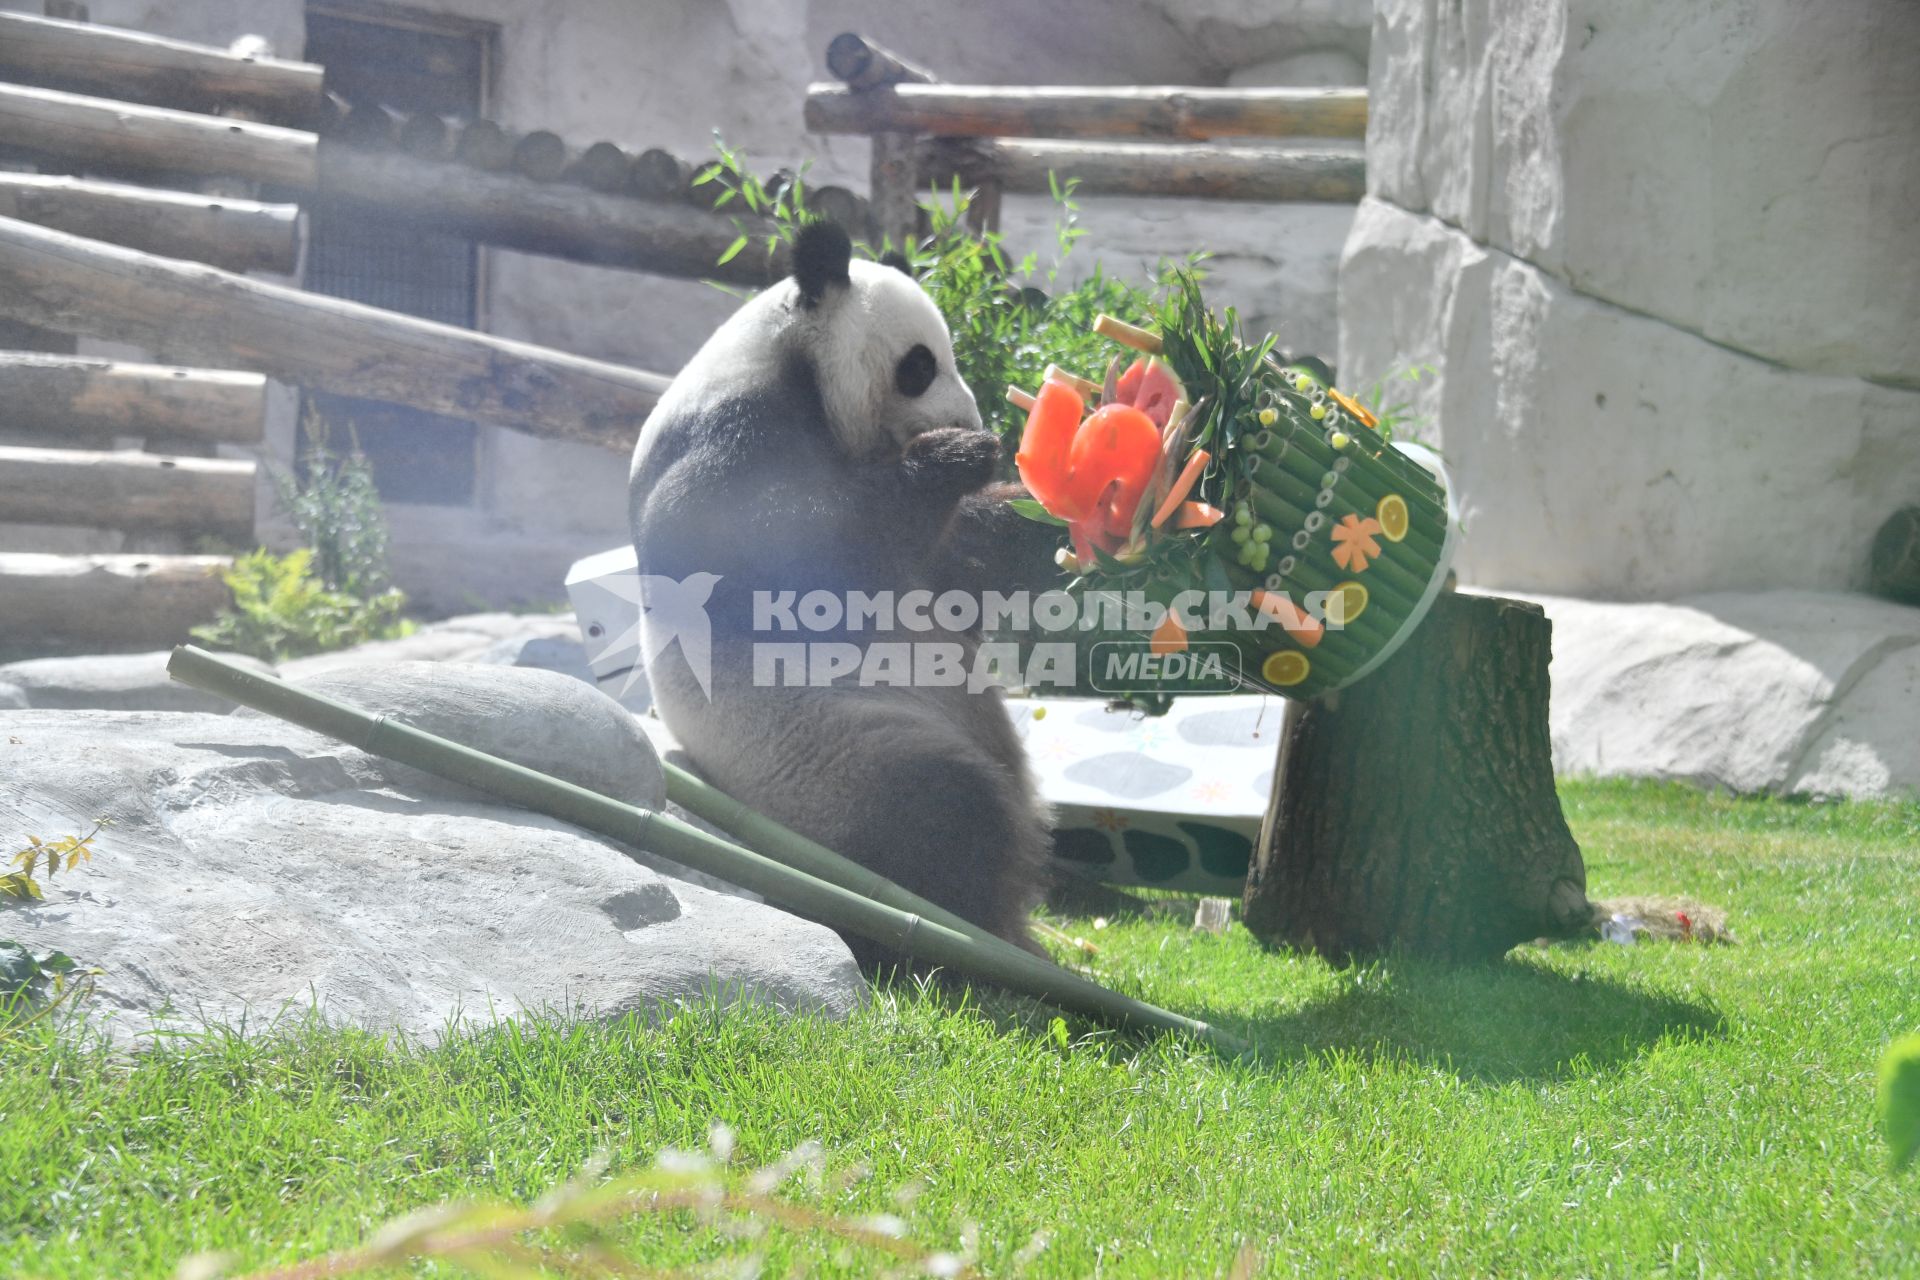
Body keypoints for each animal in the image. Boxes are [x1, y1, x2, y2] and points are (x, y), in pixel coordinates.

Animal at [625, 222, 1052, 959]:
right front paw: (958, 456)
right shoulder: (727, 438)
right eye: (920, 365)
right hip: (820, 762)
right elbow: (777, 572)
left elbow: (959, 568)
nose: (974, 420)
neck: (791, 366)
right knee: (938, 811)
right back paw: (971, 933)